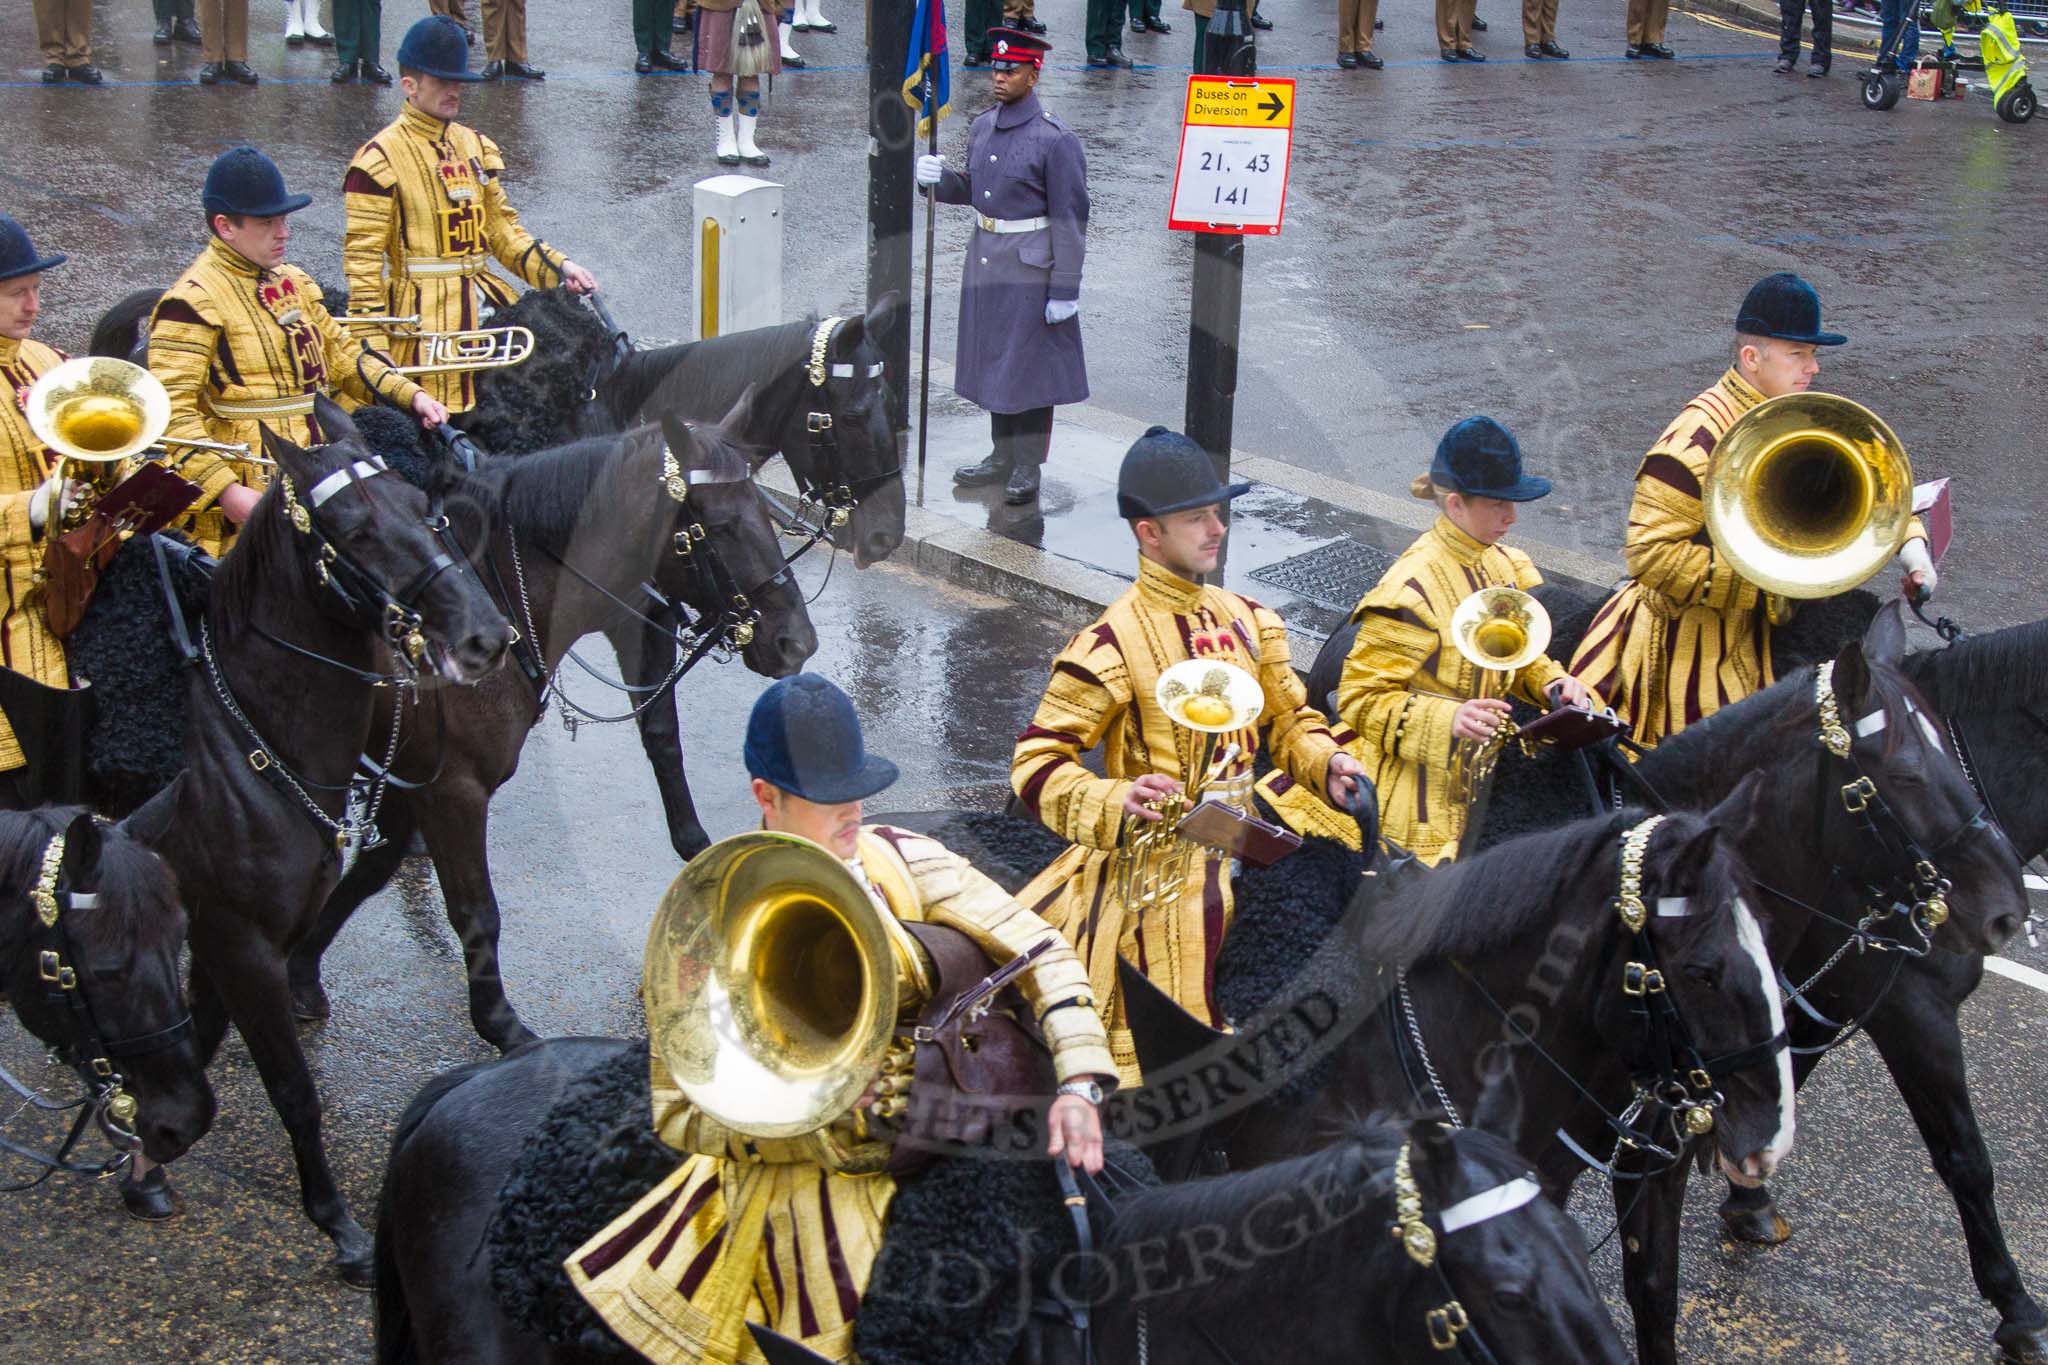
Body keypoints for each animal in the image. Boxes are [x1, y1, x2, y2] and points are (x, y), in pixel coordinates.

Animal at [134, 405, 512, 1293]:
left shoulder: (220, 940)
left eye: (424, 504)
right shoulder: (239, 942)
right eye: (352, 530)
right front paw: (338, 1225)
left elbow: (198, 1047)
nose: (485, 636)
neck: (252, 748)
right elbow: (290, 1088)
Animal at [282, 401, 823, 1055]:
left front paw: (301, 969)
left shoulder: (412, 777)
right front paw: (500, 1024)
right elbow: (474, 908)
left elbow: (370, 871)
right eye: (718, 526)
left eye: (765, 511)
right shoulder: (451, 790)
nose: (797, 641)